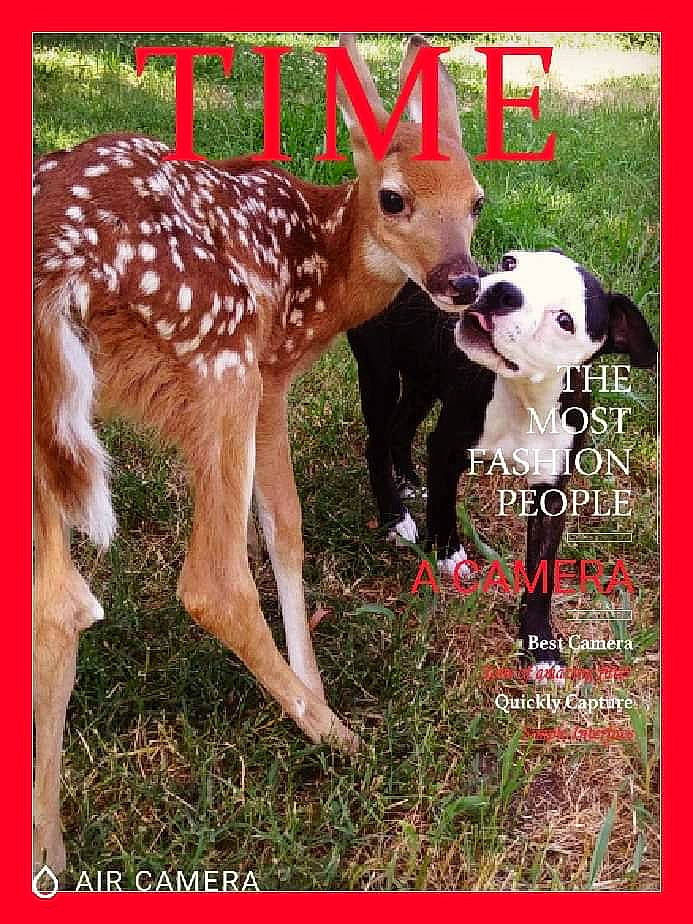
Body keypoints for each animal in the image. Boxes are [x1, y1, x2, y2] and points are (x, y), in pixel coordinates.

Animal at [33, 34, 484, 872]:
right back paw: (336, 737)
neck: (325, 267)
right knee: (209, 582)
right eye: (393, 198)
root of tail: (60, 261)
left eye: (475, 199)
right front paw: (318, 693)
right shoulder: (273, 373)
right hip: (221, 355)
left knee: (56, 605)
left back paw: (47, 853)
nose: (461, 281)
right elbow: (285, 528)